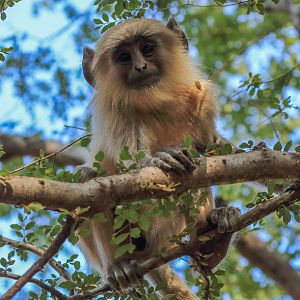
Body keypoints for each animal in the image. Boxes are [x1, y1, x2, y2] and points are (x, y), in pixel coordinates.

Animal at [79, 18, 239, 298]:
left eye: (147, 49)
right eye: (124, 57)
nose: (140, 66)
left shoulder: (199, 99)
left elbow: (213, 148)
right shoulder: (116, 114)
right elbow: (129, 163)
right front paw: (159, 159)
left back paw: (213, 245)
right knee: (89, 178)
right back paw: (119, 264)